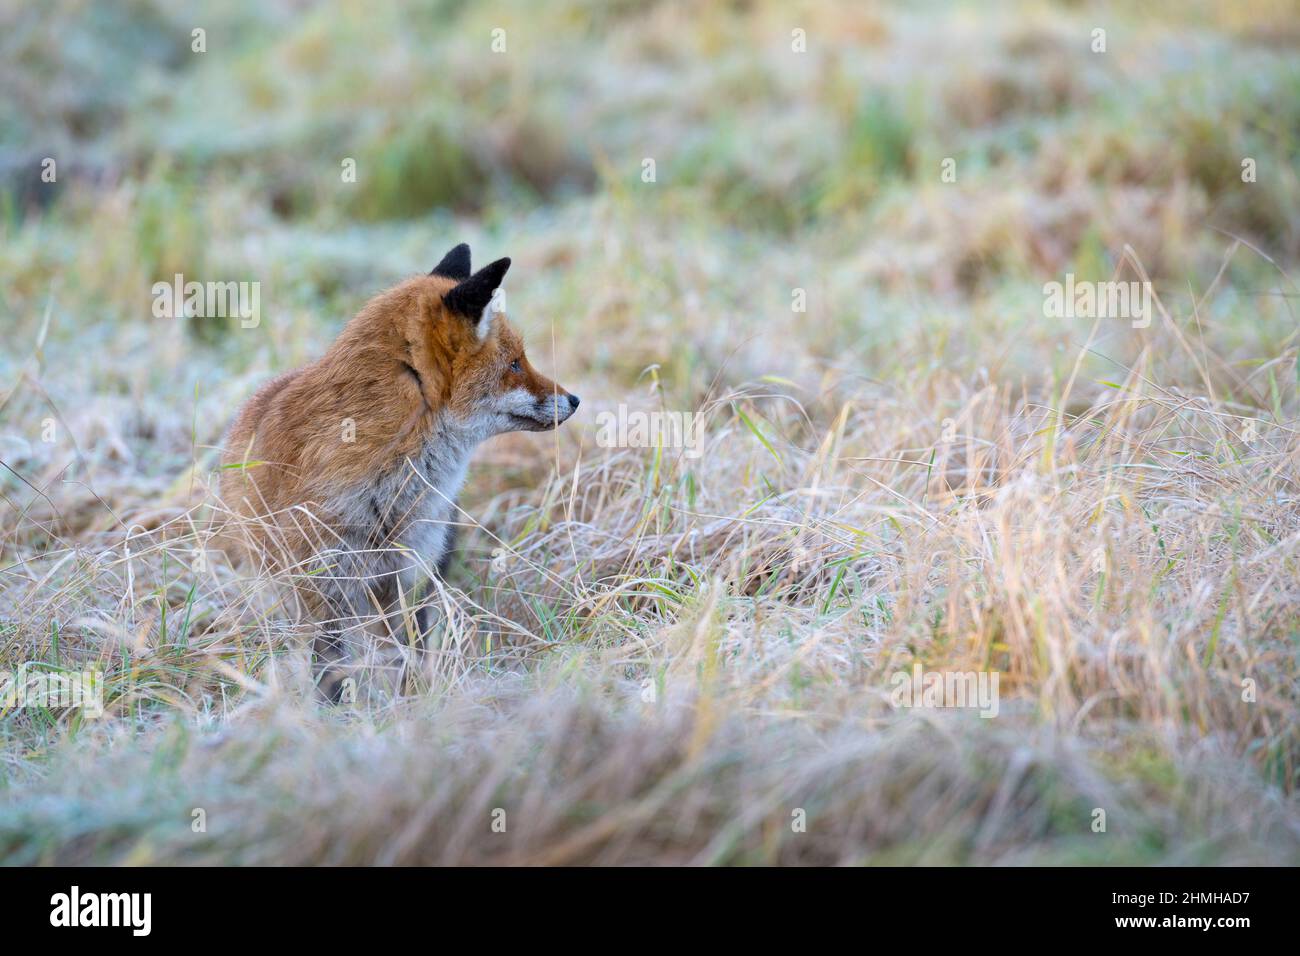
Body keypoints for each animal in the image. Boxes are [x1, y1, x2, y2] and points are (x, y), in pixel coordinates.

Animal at [218, 244, 579, 699]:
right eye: (515, 364)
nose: (575, 400)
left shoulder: (410, 575)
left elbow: (410, 653)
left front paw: (414, 702)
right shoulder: (322, 585)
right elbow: (329, 668)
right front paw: (334, 711)